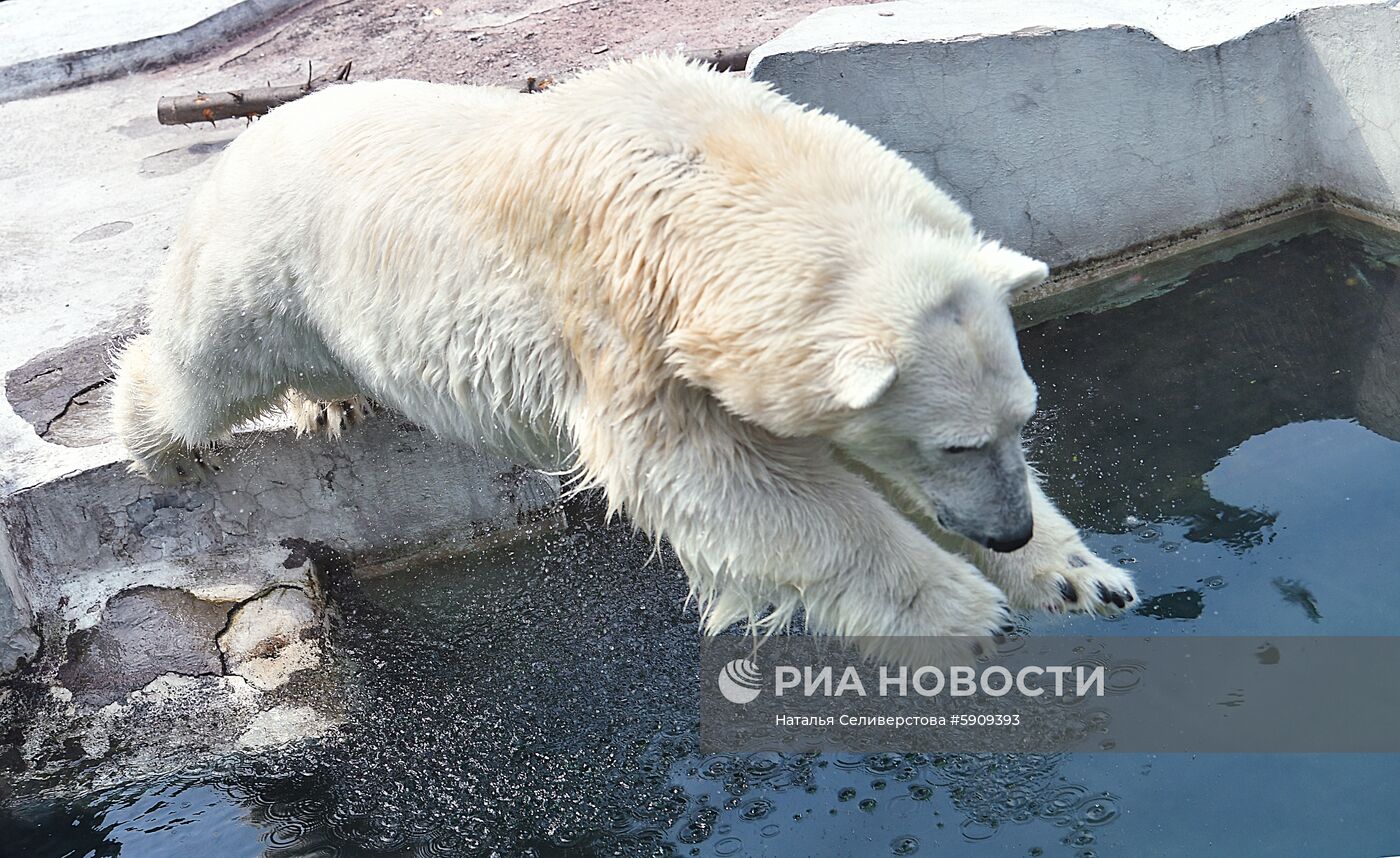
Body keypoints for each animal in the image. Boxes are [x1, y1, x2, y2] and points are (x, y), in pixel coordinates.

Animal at [109, 57, 1136, 652]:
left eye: (1022, 421)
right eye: (955, 443)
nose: (1006, 532)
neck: (718, 168)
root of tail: (254, 127)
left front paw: (1080, 577)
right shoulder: (625, 317)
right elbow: (720, 480)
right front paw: (968, 612)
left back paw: (332, 403)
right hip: (267, 260)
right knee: (206, 362)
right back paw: (162, 447)